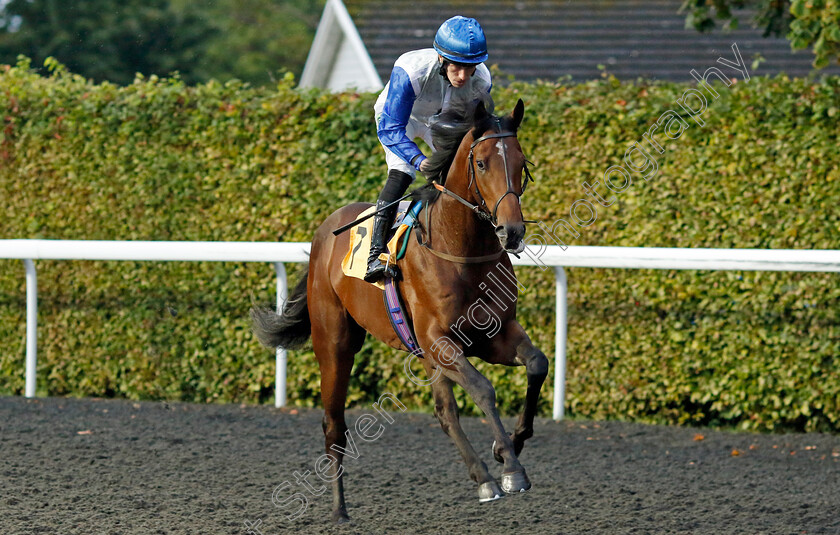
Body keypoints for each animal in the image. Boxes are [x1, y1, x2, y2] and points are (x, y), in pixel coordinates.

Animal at [253, 99, 548, 524]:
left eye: (521, 162)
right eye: (481, 163)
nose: (512, 232)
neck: (461, 251)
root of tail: (324, 231)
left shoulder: (492, 335)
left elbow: (537, 364)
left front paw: (511, 446)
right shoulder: (440, 341)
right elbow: (483, 388)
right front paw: (511, 467)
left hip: (422, 353)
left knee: (444, 413)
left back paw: (482, 479)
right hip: (335, 345)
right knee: (334, 425)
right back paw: (339, 509)